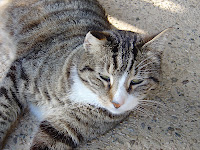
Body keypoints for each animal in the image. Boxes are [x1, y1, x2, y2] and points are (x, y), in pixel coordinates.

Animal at [0, 0, 168, 149]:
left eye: (136, 81)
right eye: (104, 77)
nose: (117, 103)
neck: (82, 91)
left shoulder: (63, 130)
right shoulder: (20, 71)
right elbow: (3, 107)